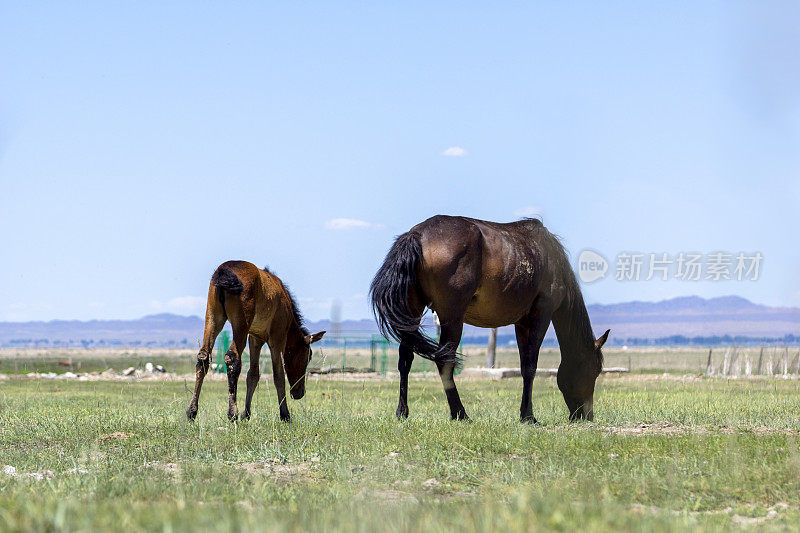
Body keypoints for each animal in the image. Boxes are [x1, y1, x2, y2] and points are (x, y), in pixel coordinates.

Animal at [186, 260, 324, 422]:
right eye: (308, 356)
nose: (299, 392)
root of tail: (223, 272)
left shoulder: (255, 337)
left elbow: (253, 375)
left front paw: (247, 414)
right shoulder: (277, 337)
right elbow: (278, 375)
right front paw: (285, 414)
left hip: (213, 317)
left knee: (203, 358)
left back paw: (192, 411)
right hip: (241, 323)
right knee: (232, 357)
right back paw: (232, 413)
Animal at [372, 214, 608, 422]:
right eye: (595, 370)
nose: (586, 416)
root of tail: (417, 235)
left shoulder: (521, 323)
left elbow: (525, 367)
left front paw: (524, 414)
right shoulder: (541, 316)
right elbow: (531, 365)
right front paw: (528, 416)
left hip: (413, 311)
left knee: (405, 359)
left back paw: (402, 412)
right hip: (452, 316)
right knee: (444, 359)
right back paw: (460, 413)